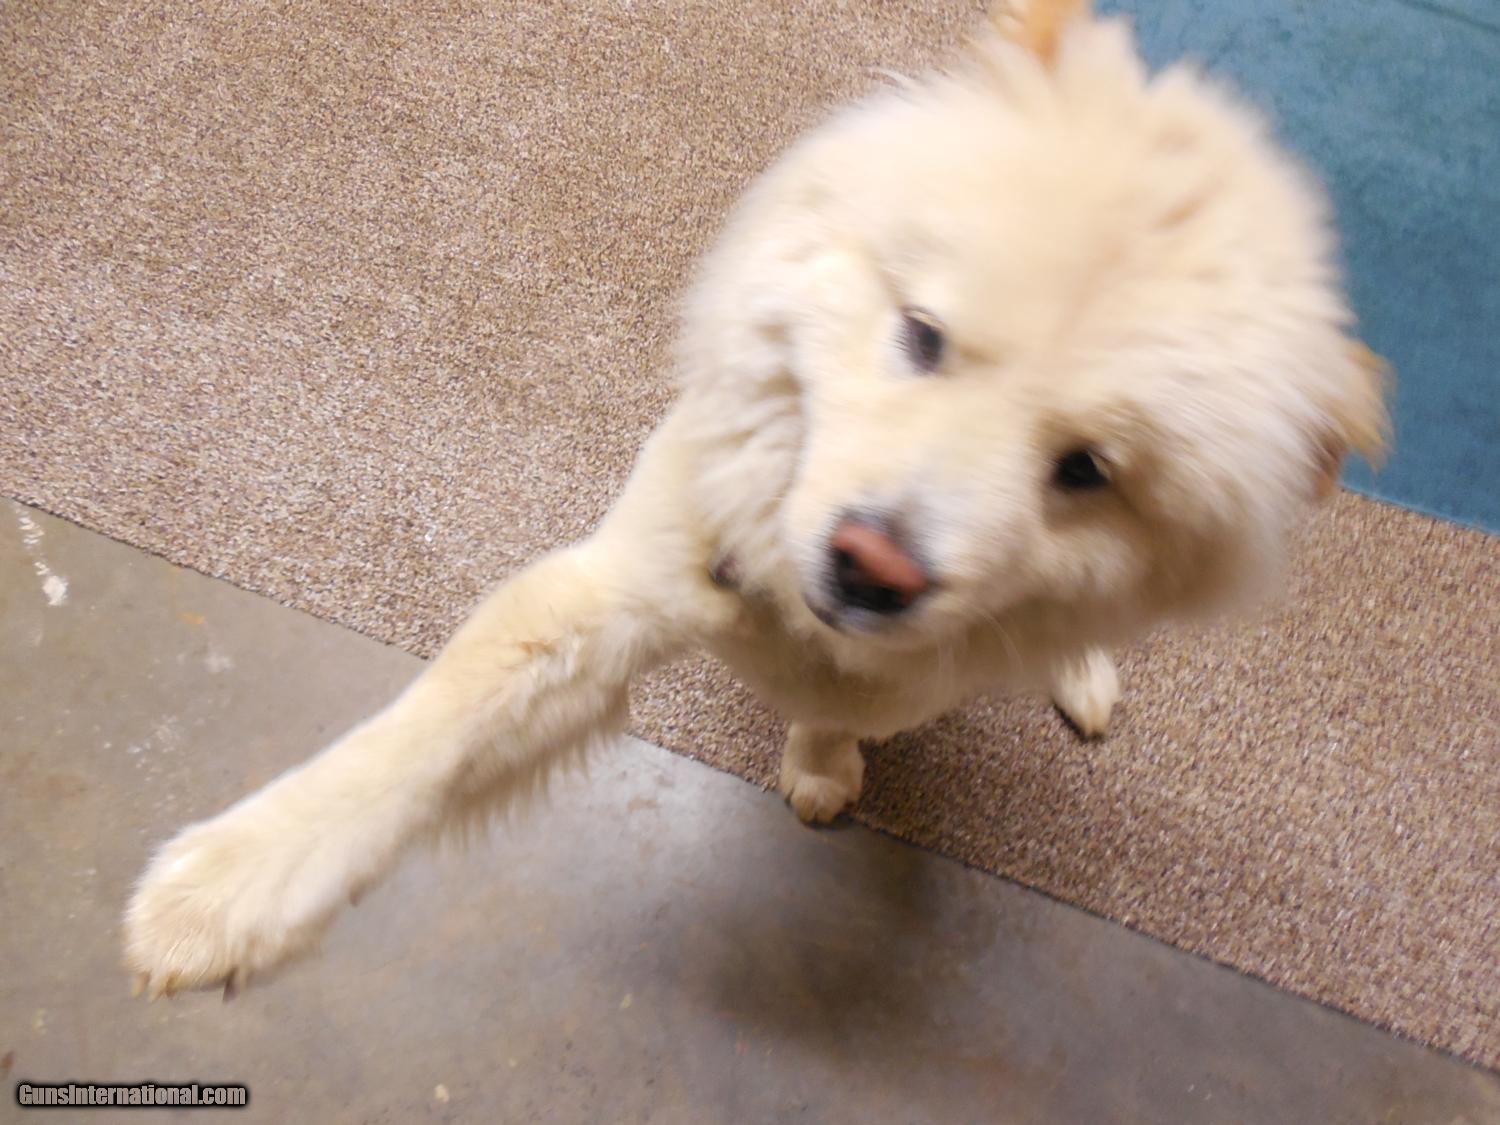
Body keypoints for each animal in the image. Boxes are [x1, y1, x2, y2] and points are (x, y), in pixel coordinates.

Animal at [123, 0, 1387, 998]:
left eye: (1086, 470)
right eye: (922, 334)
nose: (875, 565)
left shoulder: (899, 675)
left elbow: (843, 712)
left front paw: (823, 770)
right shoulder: (610, 591)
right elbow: (422, 733)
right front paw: (224, 890)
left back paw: (1076, 668)